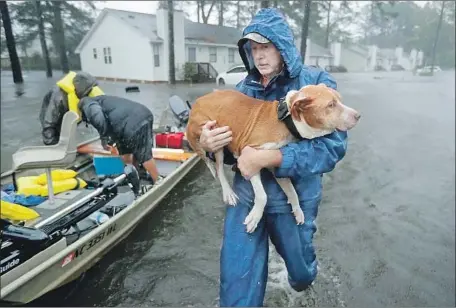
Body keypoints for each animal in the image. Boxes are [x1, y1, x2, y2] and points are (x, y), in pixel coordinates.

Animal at [185, 83, 360, 232]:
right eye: (331, 105)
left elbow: (292, 192)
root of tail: (199, 101)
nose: (358, 115)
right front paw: (254, 217)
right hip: (214, 136)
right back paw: (228, 193)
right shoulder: (248, 158)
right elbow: (263, 196)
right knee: (217, 168)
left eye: (339, 100)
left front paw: (297, 210)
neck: (287, 121)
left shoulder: (277, 166)